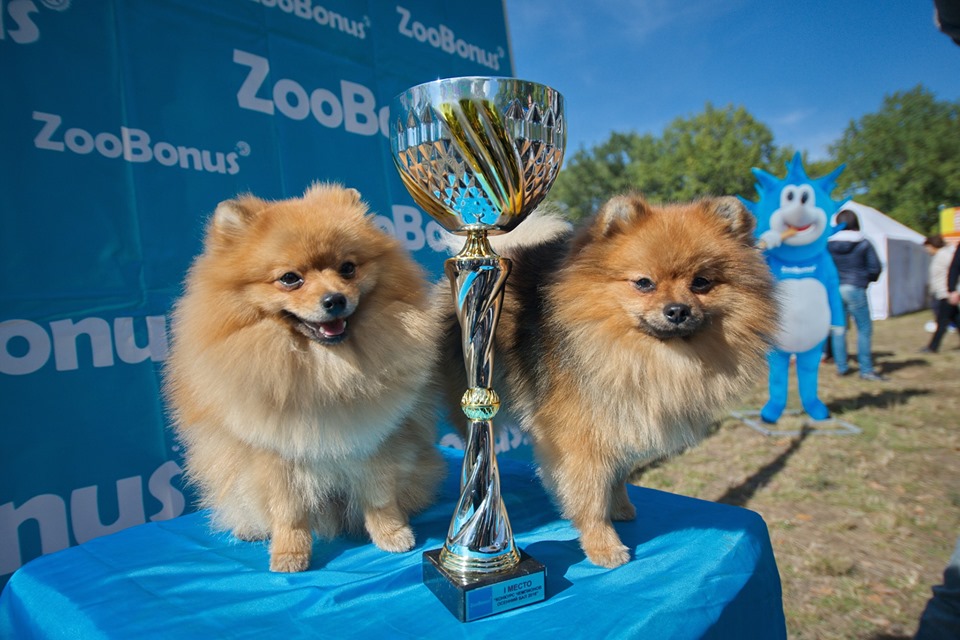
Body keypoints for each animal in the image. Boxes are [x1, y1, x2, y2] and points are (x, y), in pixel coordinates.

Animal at [166, 182, 446, 572]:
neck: (324, 368)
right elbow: (288, 511)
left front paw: (392, 533)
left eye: (347, 268)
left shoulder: (372, 437)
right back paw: (250, 529)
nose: (335, 299)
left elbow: (378, 494)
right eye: (290, 279)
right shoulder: (277, 451)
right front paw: (290, 553)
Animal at [438, 192, 776, 568]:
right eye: (644, 283)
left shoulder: (621, 415)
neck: (645, 355)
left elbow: (616, 475)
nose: (677, 310)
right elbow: (589, 493)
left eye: (701, 282)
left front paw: (621, 506)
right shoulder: (579, 434)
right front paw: (603, 544)